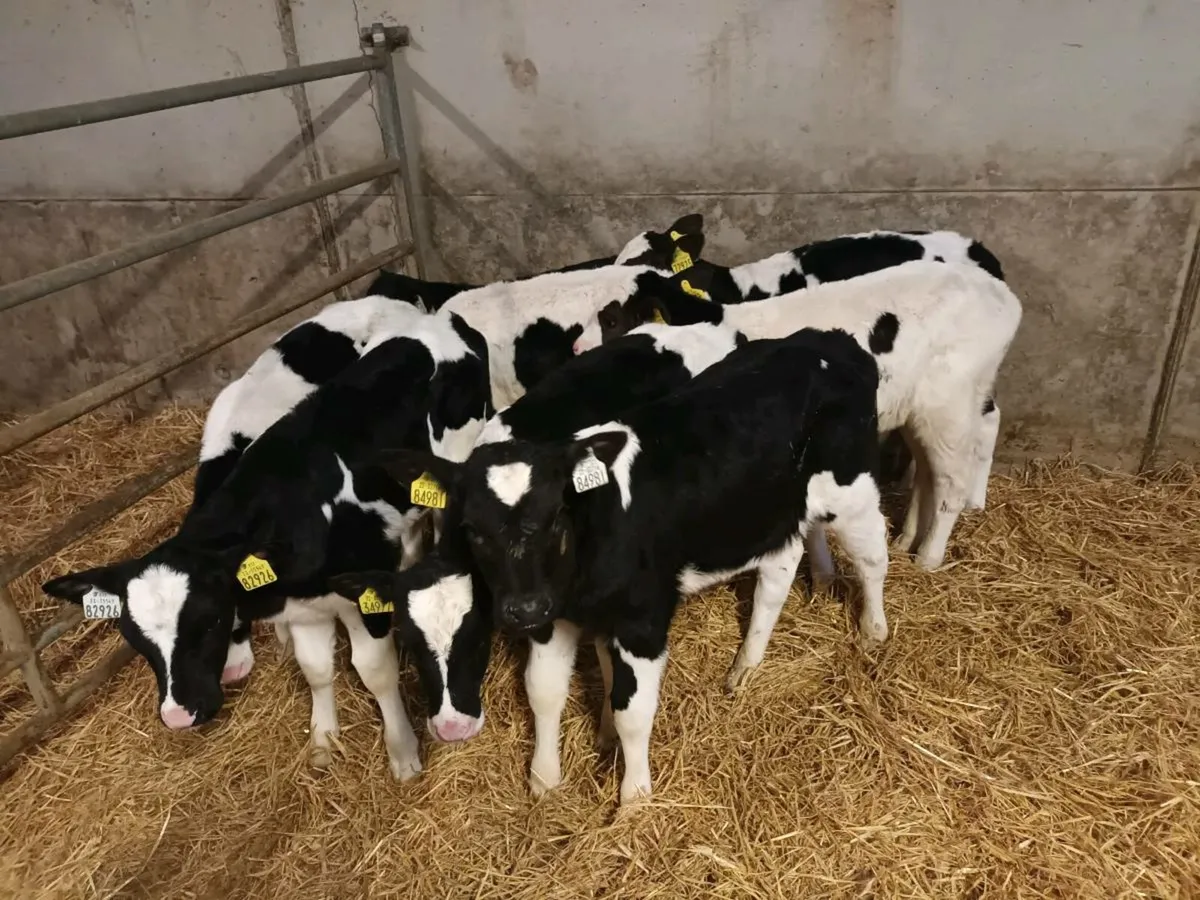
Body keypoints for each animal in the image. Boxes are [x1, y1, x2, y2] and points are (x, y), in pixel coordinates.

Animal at [42, 310, 492, 779]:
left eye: (210, 621)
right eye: (134, 637)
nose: (178, 716)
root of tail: (440, 319)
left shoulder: (358, 599)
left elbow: (375, 673)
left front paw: (402, 752)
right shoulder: (304, 609)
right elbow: (316, 670)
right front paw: (323, 741)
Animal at [359, 327, 888, 805]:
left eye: (556, 516)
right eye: (474, 529)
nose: (451, 728)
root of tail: (829, 340)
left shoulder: (642, 619)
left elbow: (633, 710)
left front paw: (634, 798)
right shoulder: (554, 618)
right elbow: (544, 690)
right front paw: (545, 779)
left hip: (851, 487)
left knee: (873, 555)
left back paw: (872, 631)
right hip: (776, 510)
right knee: (778, 573)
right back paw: (746, 666)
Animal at [577, 259, 1023, 572]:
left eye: (611, 318)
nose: (578, 351)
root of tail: (1003, 295)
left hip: (950, 406)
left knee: (952, 483)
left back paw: (929, 558)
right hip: (922, 413)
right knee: (927, 475)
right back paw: (906, 540)